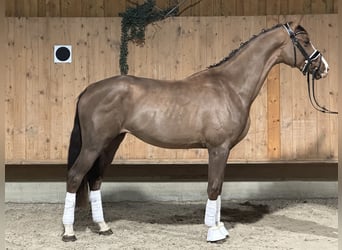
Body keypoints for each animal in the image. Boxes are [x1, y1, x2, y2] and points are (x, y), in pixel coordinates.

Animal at [61, 19, 328, 242]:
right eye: (305, 41)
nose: (323, 67)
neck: (230, 86)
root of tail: (88, 90)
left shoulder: (224, 150)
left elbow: (219, 188)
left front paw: (220, 228)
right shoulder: (218, 148)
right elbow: (213, 187)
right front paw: (214, 233)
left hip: (110, 143)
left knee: (95, 180)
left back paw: (103, 227)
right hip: (93, 145)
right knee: (75, 177)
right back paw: (69, 233)